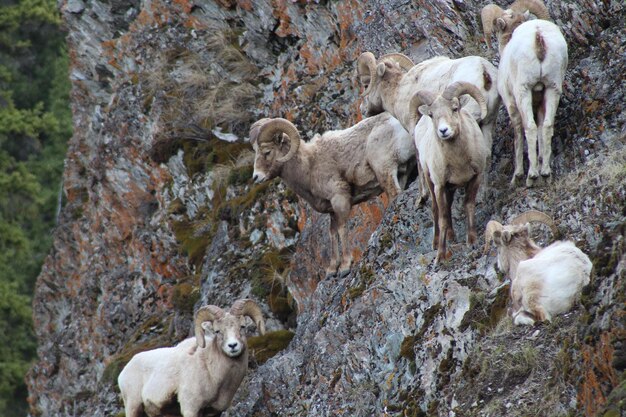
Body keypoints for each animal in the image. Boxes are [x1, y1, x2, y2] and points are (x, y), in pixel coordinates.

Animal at [117, 300, 264, 416]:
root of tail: (123, 373)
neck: (211, 373)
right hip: (133, 408)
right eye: (217, 331)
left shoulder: (214, 412)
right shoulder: (190, 409)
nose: (233, 346)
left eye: (242, 327)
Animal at [249, 112, 414, 278]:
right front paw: (332, 270)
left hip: (385, 171)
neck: (310, 166)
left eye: (267, 152)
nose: (256, 177)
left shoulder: (339, 199)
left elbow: (342, 229)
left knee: (394, 195)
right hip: (403, 172)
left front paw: (345, 267)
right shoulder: (332, 211)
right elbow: (332, 234)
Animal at [412, 81, 490, 264]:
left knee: (447, 208)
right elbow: (442, 219)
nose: (443, 131)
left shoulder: (476, 177)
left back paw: (453, 237)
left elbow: (468, 205)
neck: (458, 161)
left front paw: (472, 241)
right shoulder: (440, 185)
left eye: (455, 108)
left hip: (451, 189)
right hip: (431, 181)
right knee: (437, 210)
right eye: (432, 115)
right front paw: (440, 256)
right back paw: (436, 243)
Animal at [482, 0, 564, 186]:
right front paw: (541, 163)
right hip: (553, 88)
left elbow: (518, 135)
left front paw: (517, 175)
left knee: (530, 128)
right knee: (547, 126)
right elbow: (541, 128)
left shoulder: (511, 105)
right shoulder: (540, 102)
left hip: (523, 92)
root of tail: (538, 35)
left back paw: (531, 176)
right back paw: (546, 173)